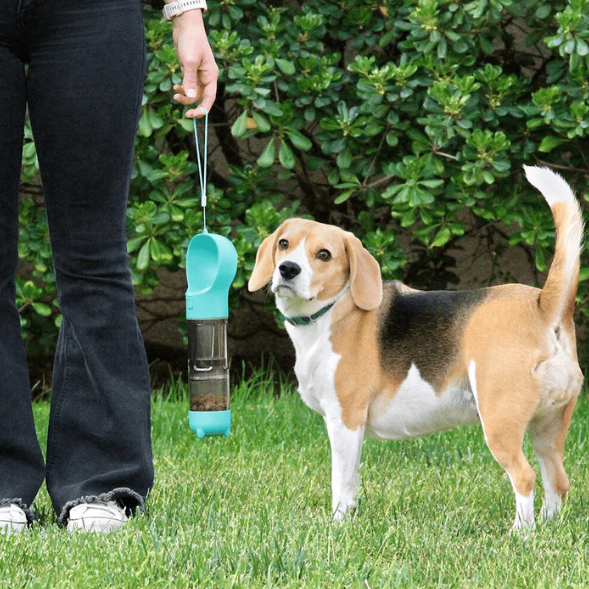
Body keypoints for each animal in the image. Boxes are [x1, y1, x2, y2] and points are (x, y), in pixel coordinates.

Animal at [247, 167, 584, 528]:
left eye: (324, 254)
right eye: (284, 244)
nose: (287, 269)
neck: (334, 311)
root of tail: (542, 304)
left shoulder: (345, 420)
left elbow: (342, 482)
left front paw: (338, 525)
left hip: (499, 422)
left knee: (525, 477)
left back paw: (520, 532)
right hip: (548, 427)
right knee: (558, 480)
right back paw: (546, 524)